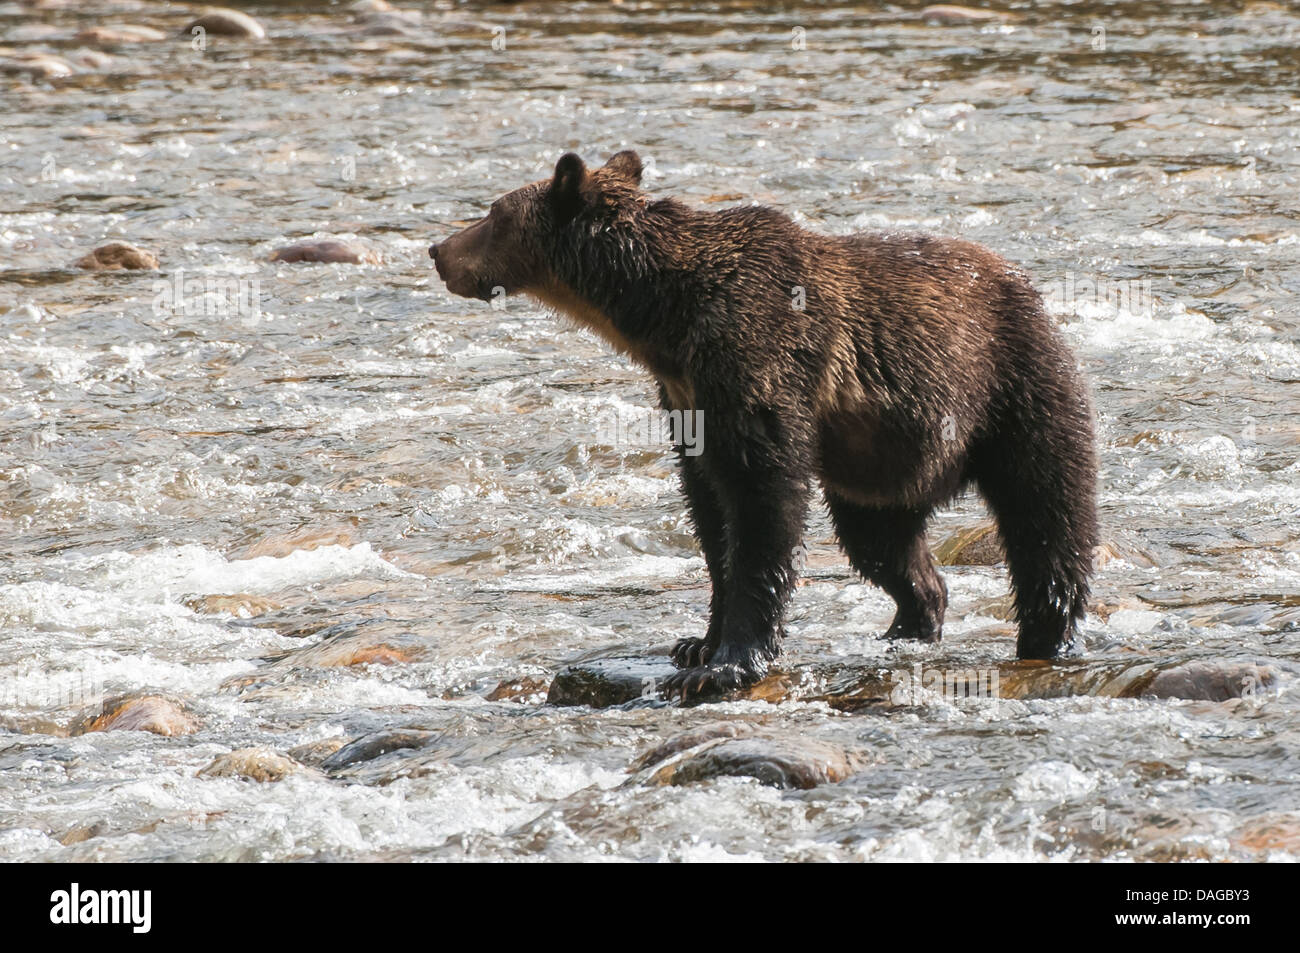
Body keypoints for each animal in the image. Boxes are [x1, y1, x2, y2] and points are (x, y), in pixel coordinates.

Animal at [434, 148, 1097, 696]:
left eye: (492, 213)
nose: (439, 251)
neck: (662, 318)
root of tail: (1025, 282)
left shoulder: (756, 359)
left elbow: (762, 502)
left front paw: (728, 662)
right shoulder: (686, 397)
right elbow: (709, 511)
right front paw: (696, 644)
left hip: (1016, 386)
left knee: (1046, 514)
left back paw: (1050, 635)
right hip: (883, 460)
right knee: (882, 543)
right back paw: (908, 624)